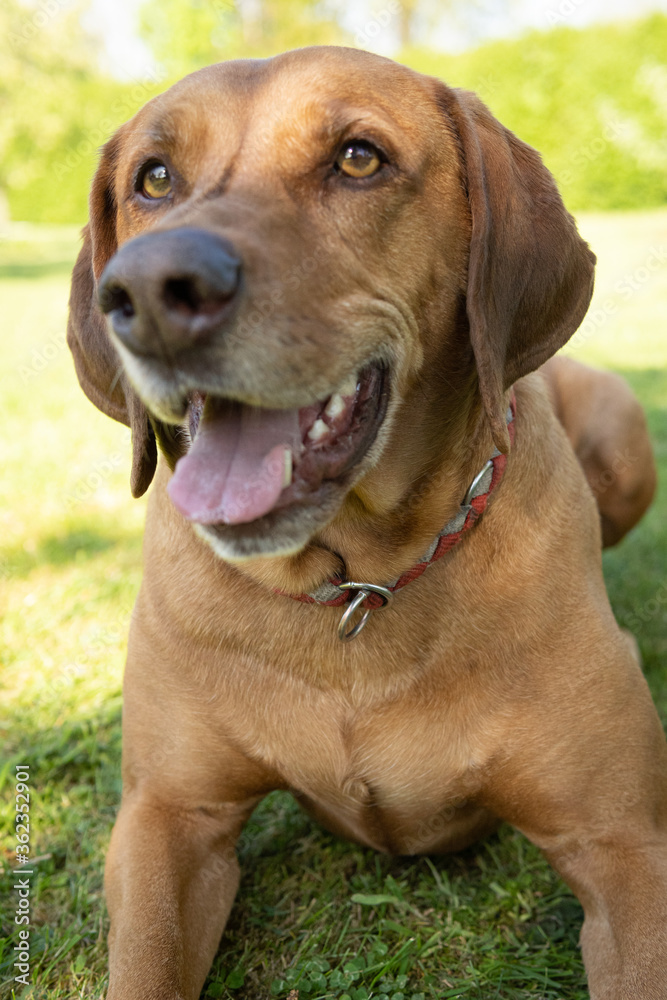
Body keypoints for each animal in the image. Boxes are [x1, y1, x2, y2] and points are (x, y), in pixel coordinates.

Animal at [68, 47, 667, 1000]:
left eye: (357, 158)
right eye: (153, 177)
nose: (153, 292)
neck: (356, 577)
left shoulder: (623, 847)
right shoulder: (168, 816)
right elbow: (146, 958)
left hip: (621, 438)